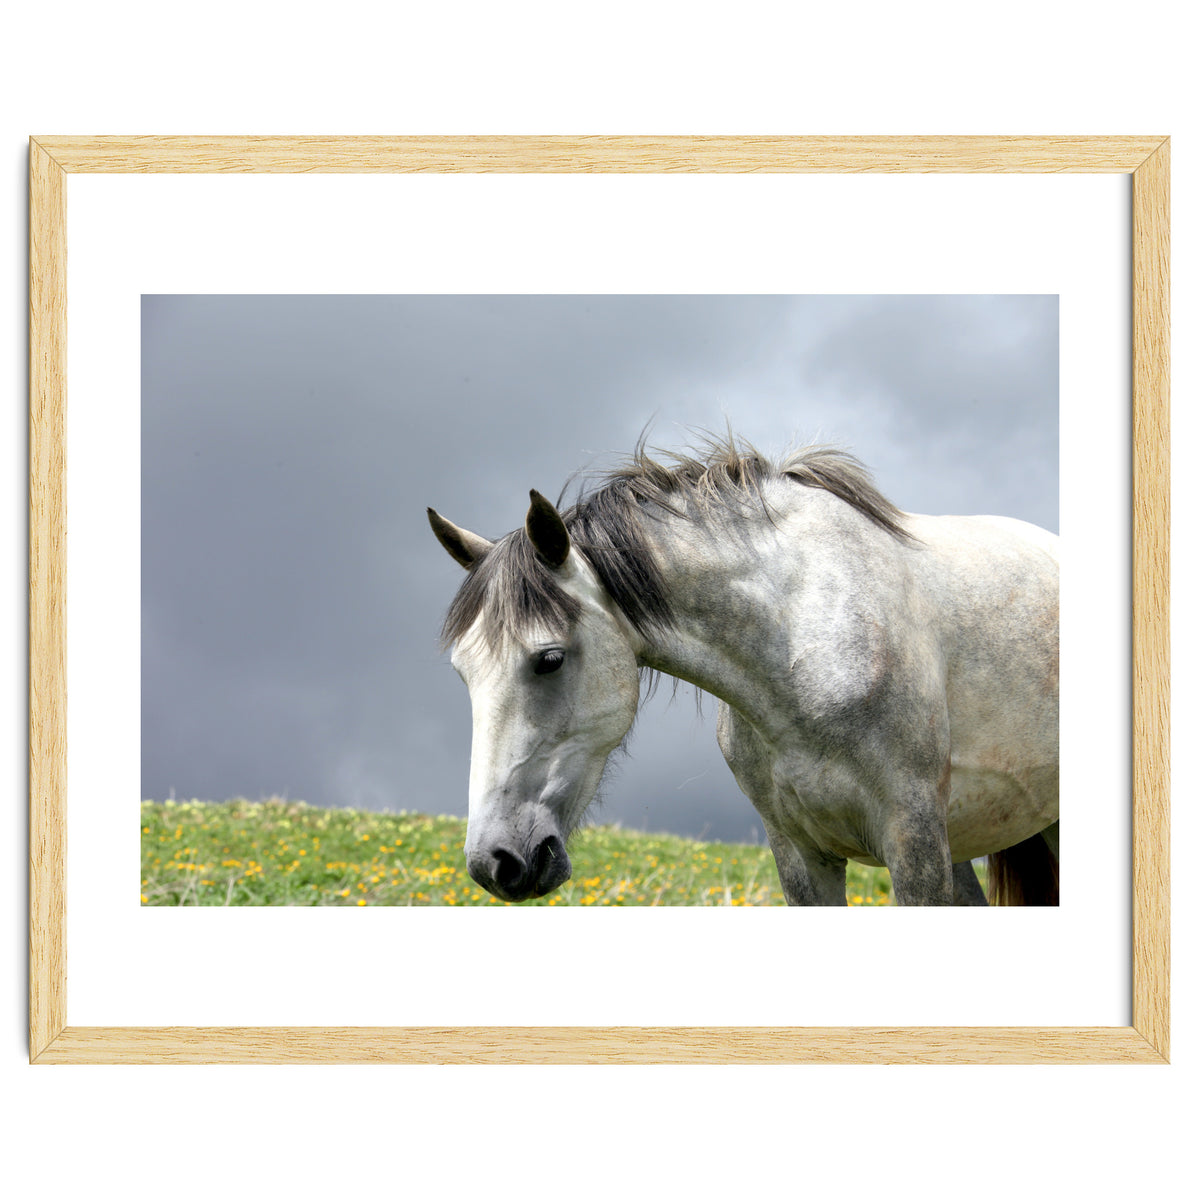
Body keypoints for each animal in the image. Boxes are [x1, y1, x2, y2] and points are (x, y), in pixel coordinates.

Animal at [427, 433, 1059, 906]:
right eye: (462, 674)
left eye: (549, 659)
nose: (495, 862)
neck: (804, 646)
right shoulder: (801, 856)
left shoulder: (914, 842)